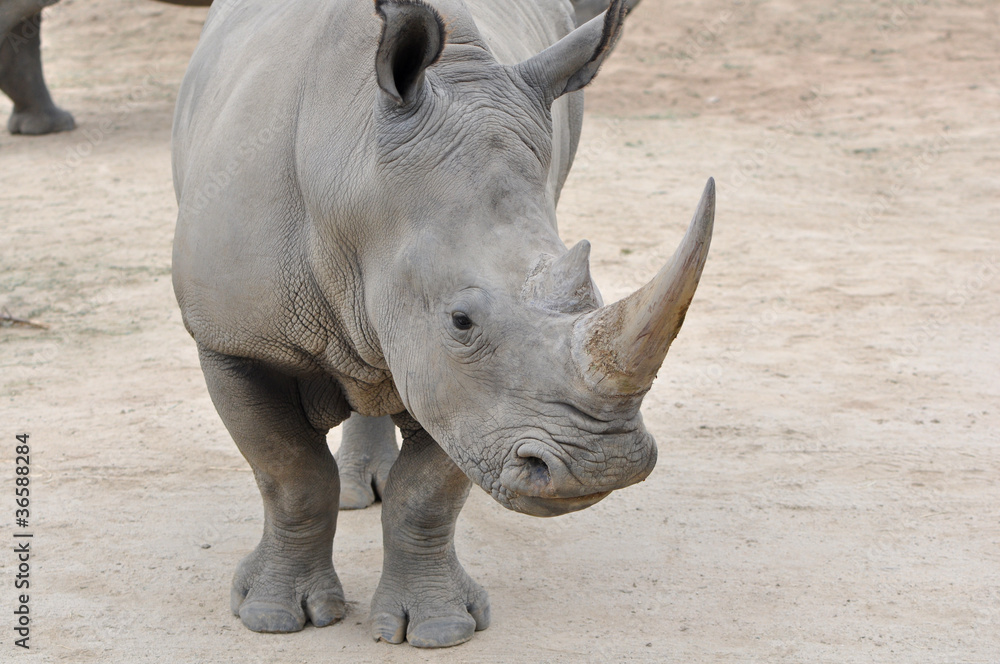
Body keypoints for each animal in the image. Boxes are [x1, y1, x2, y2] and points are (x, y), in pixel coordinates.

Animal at [171, 0, 714, 649]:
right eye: (461, 321)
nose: (601, 467)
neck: (353, 173)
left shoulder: (470, 401)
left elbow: (427, 492)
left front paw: (438, 628)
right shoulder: (232, 341)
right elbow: (291, 475)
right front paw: (273, 618)